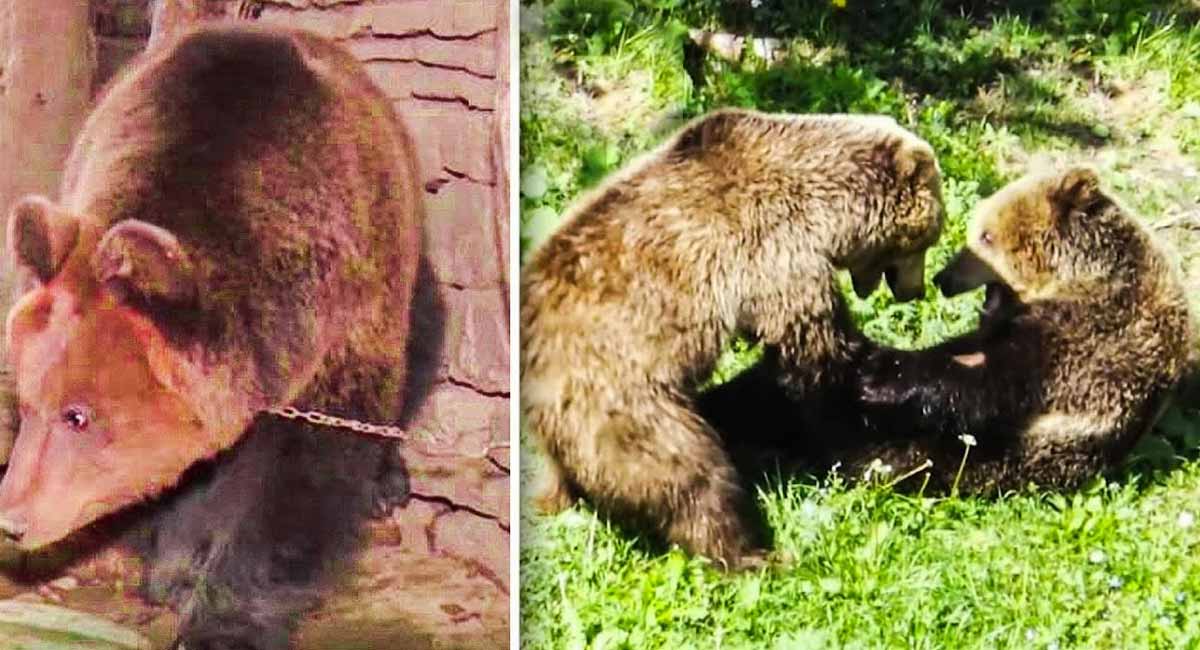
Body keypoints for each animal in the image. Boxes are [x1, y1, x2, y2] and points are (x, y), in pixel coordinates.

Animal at [523, 109, 945, 568]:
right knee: (691, 477)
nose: (916, 290)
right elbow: (816, 347)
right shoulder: (777, 249)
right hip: (619, 398)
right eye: (928, 238)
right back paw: (755, 554)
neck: (830, 203)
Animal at [700, 166, 1195, 494]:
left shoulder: (1090, 342)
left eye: (985, 237)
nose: (943, 277)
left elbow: (986, 386)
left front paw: (877, 375)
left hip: (927, 454)